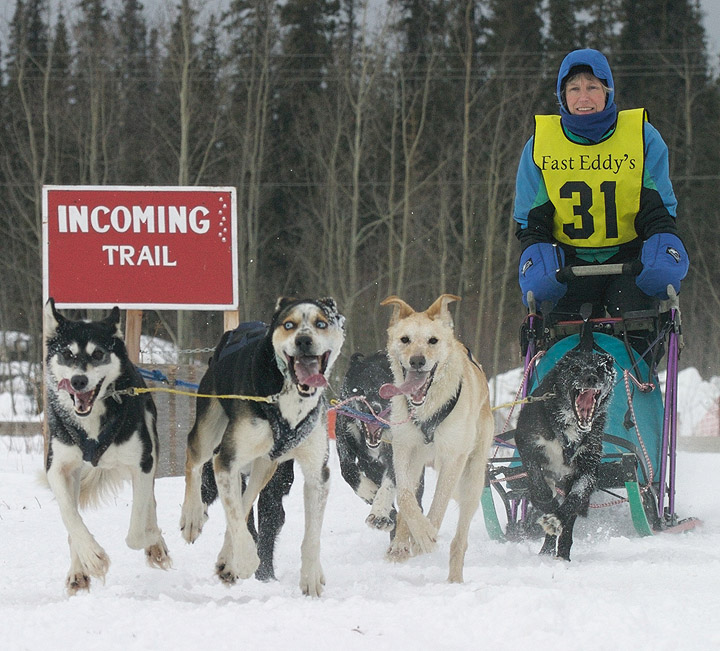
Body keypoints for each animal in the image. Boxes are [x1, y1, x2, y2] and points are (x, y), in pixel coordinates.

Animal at [382, 292, 496, 584]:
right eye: (405, 339)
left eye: (432, 340)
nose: (417, 361)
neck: (427, 410)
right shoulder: (403, 449)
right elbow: (406, 498)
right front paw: (411, 537)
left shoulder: (454, 458)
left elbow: (439, 502)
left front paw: (426, 535)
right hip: (419, 462)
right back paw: (402, 544)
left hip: (473, 481)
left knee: (460, 540)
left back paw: (454, 579)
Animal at [516, 328, 616, 564]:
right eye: (575, 368)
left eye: (601, 369)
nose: (591, 377)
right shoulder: (526, 444)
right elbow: (539, 487)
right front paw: (547, 502)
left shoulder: (587, 469)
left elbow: (574, 500)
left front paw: (557, 518)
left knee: (570, 520)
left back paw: (562, 552)